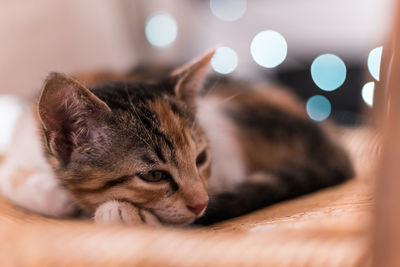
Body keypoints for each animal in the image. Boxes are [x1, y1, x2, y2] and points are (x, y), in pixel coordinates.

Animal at [0, 50, 354, 226]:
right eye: (154, 176)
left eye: (201, 159)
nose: (201, 204)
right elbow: (8, 176)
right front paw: (54, 196)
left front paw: (121, 213)